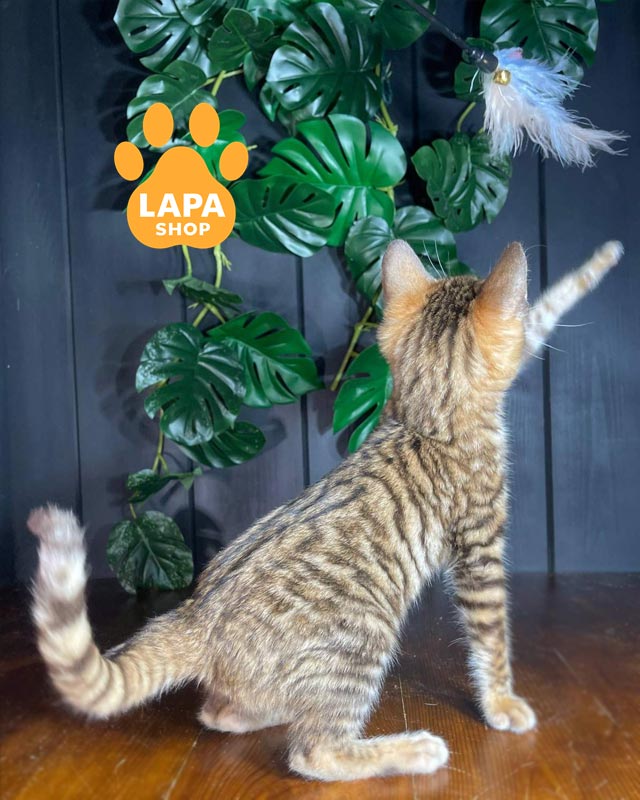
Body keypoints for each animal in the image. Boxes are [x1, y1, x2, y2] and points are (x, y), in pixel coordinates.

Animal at [27, 238, 622, 782]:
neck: (424, 417)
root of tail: (197, 617)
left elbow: (543, 311)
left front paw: (602, 260)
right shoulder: (480, 548)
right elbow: (492, 639)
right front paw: (501, 706)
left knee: (217, 713)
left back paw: (264, 713)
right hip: (362, 640)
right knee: (313, 752)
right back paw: (410, 750)